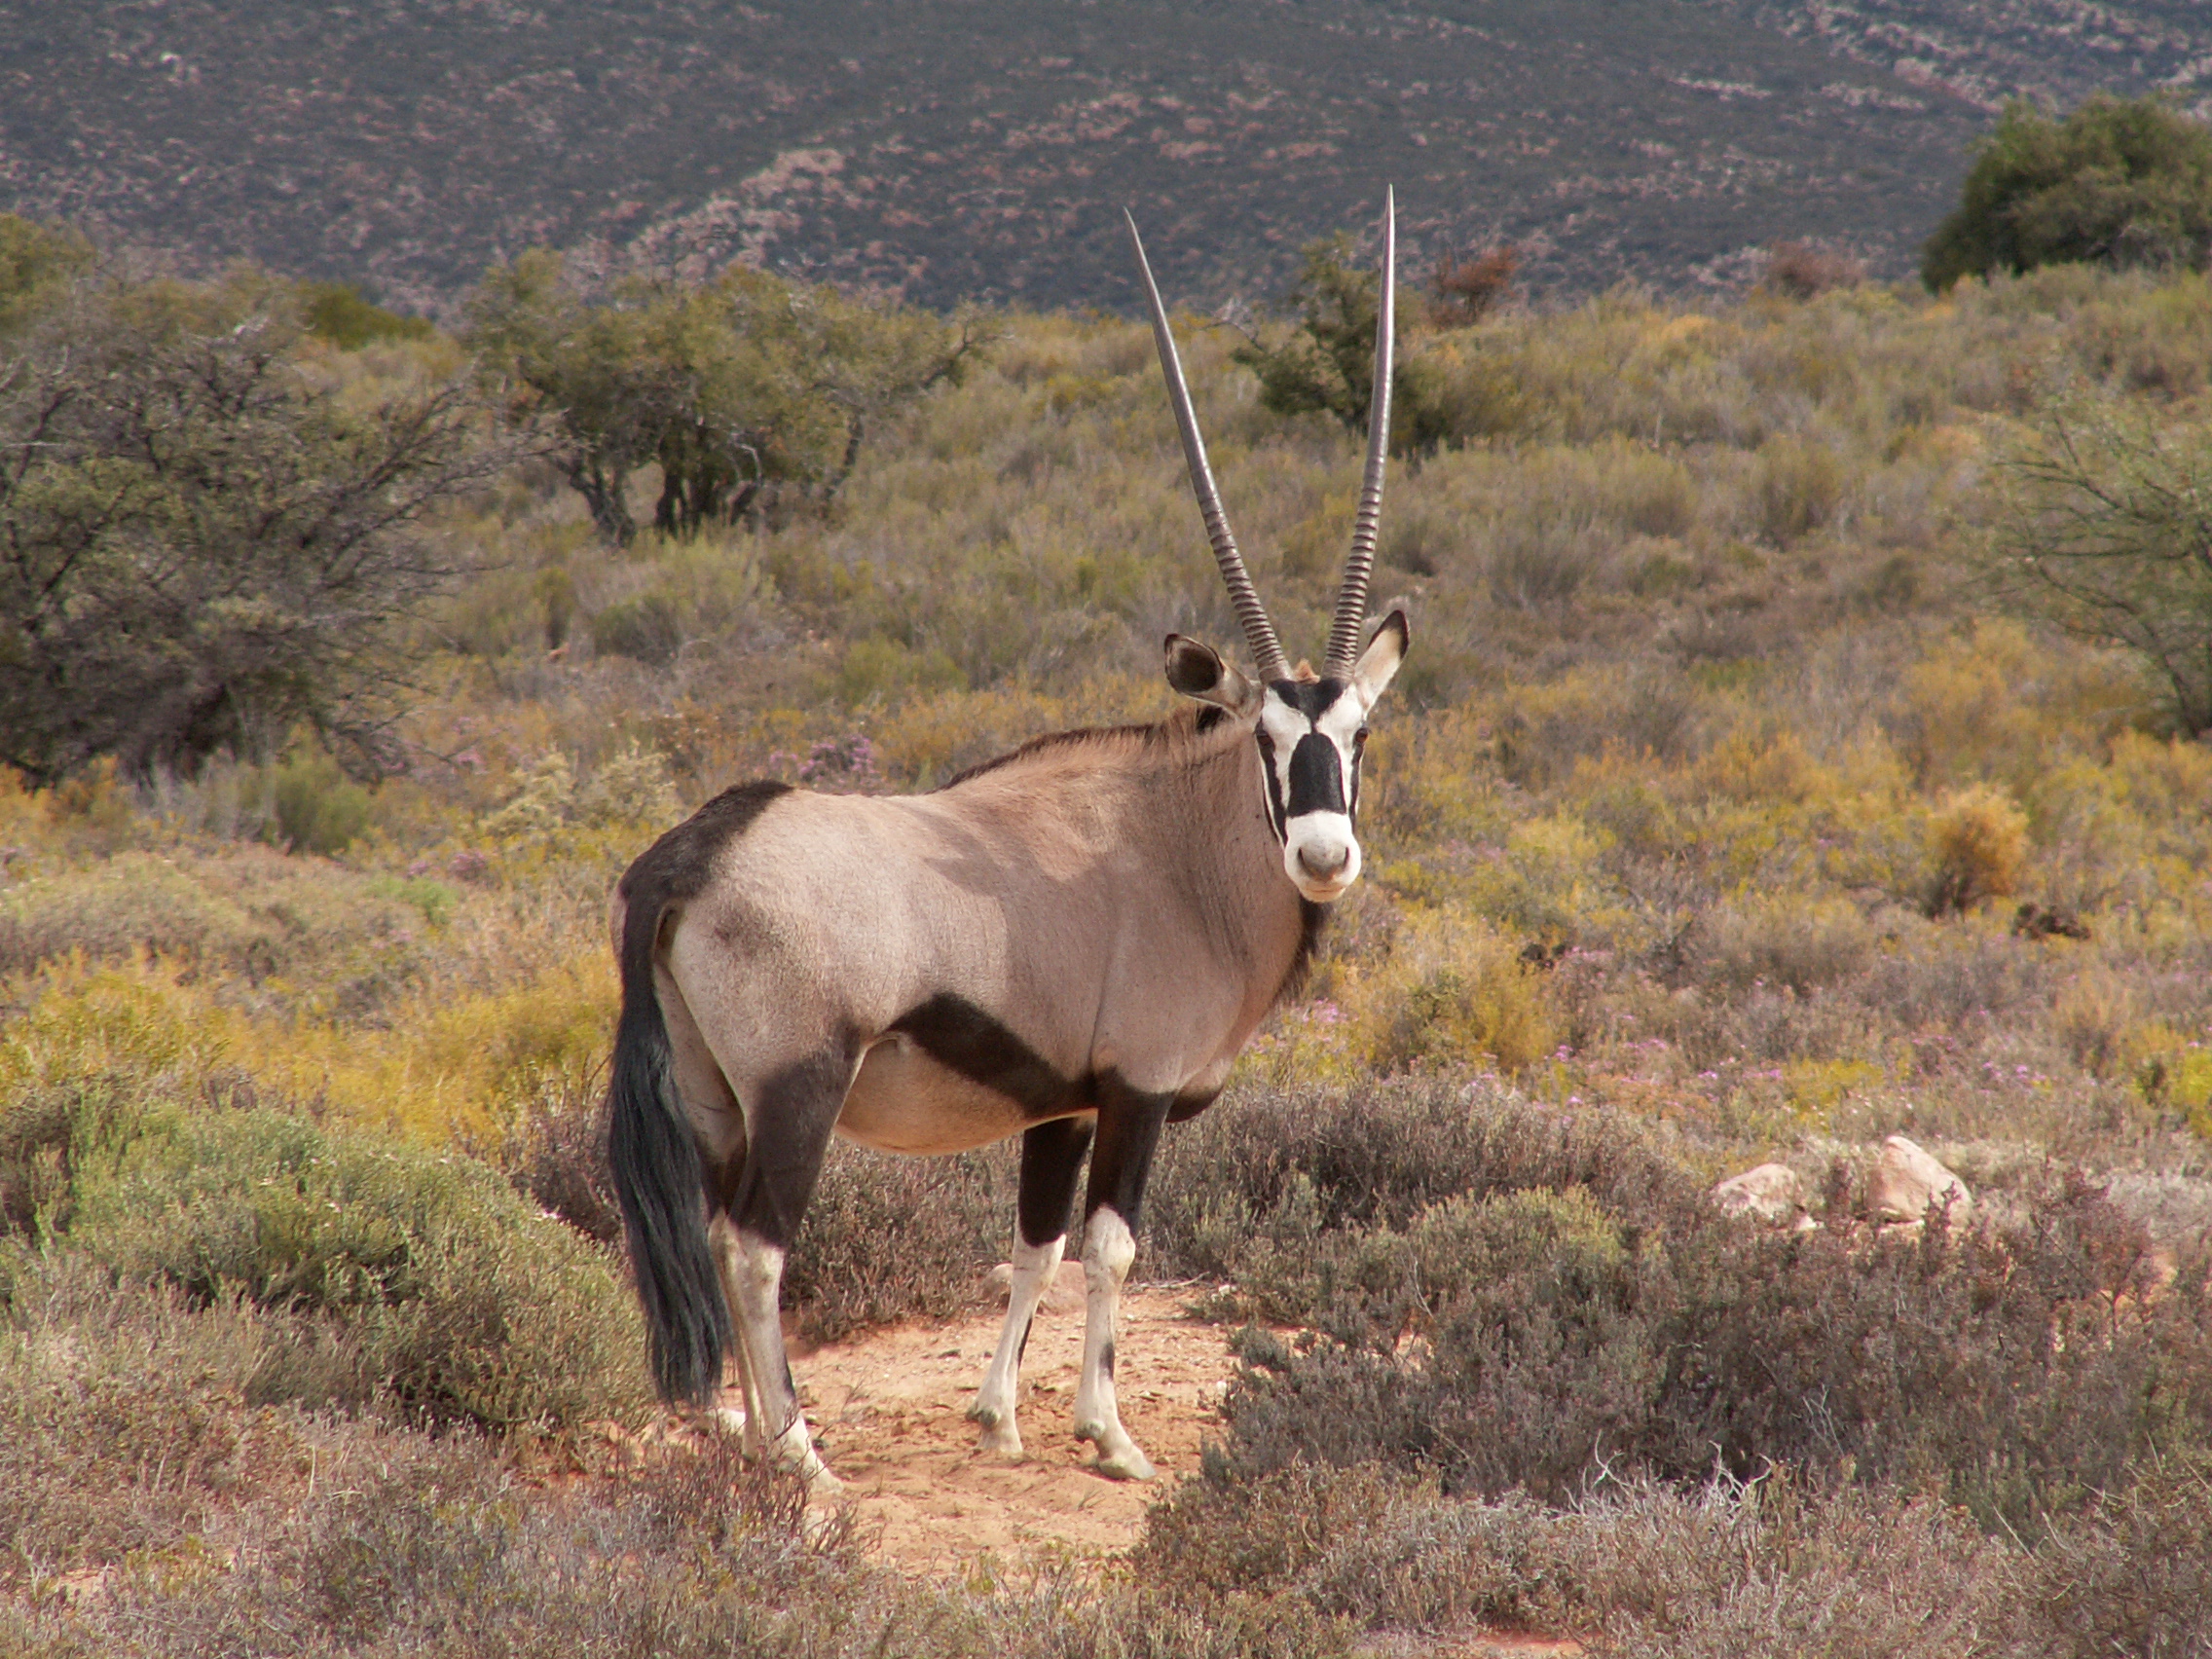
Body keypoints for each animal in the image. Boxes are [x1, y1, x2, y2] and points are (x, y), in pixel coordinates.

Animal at [610, 188, 1397, 1486]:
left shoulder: (1059, 1108)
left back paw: (746, 1432)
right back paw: (801, 1457)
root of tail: (691, 856)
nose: (1323, 858)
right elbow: (1113, 1249)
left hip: (712, 1094)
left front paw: (999, 1417)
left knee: (718, 1237)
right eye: (1263, 736)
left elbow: (1034, 1246)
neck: (1175, 850)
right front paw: (1109, 1436)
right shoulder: (1134, 1093)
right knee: (760, 1249)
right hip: (796, 1089)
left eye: (1359, 732)